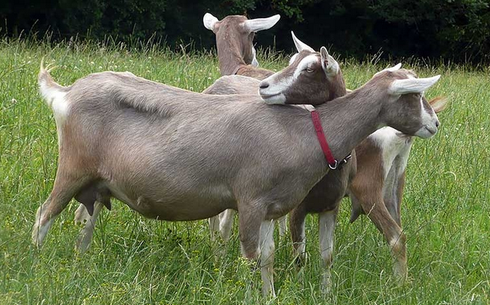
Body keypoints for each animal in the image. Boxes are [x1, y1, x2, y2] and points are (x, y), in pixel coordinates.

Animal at [33, 51, 440, 294]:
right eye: (414, 94)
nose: (434, 124)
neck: (308, 131)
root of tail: (65, 93)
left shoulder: (273, 208)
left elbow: (270, 256)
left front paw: (271, 296)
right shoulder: (251, 200)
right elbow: (250, 257)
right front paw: (249, 293)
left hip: (97, 183)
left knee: (85, 224)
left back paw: (80, 264)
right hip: (72, 167)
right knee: (43, 214)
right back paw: (34, 260)